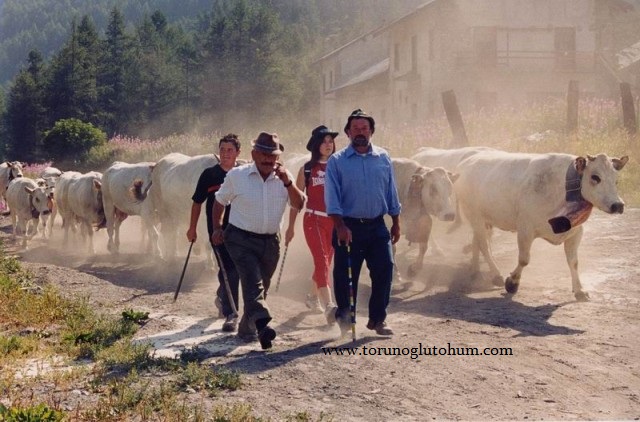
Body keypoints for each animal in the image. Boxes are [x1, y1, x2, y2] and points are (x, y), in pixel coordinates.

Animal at [456, 151, 632, 300]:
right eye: (595, 177)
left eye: (616, 180)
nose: (618, 205)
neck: (563, 190)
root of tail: (467, 161)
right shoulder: (525, 229)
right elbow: (524, 259)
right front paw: (512, 283)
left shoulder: (576, 232)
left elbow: (573, 262)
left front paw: (580, 290)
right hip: (475, 215)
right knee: (484, 245)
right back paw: (496, 274)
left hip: (483, 219)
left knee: (477, 241)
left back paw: (475, 271)